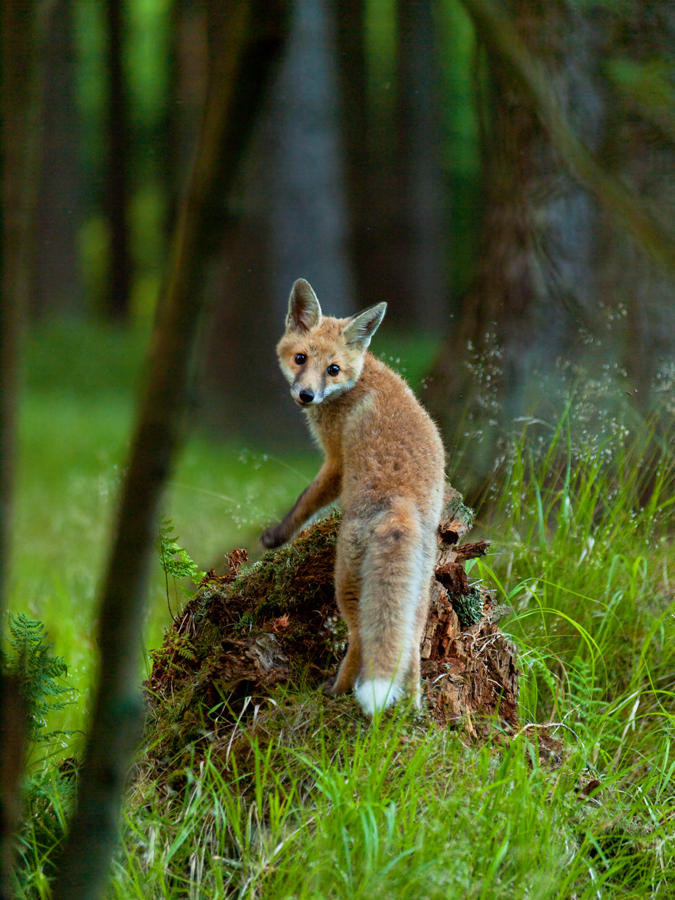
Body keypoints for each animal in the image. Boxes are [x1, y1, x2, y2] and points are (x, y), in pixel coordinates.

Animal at [261, 278, 446, 716]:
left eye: (333, 369)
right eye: (300, 358)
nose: (306, 396)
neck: (361, 379)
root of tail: (400, 505)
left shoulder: (336, 462)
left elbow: (305, 503)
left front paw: (277, 536)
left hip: (345, 579)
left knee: (361, 639)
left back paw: (337, 690)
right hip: (420, 595)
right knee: (410, 647)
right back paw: (412, 710)